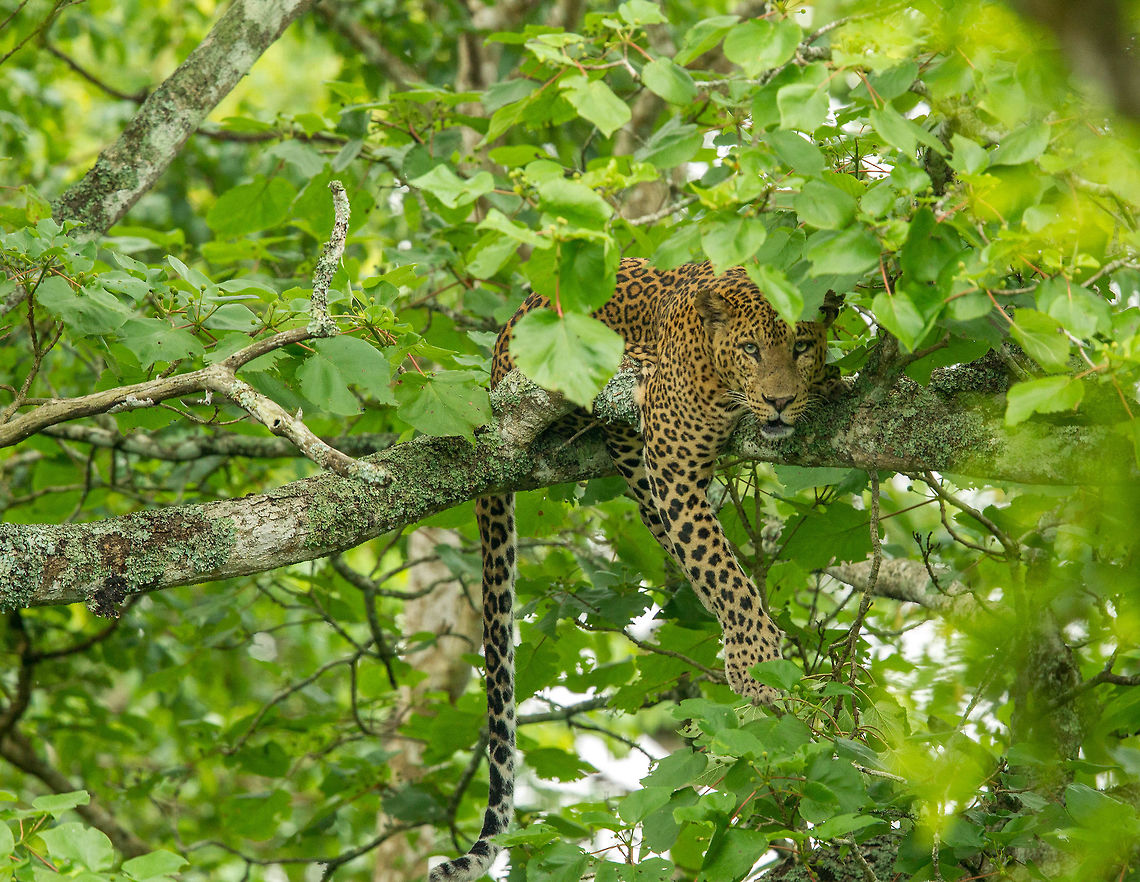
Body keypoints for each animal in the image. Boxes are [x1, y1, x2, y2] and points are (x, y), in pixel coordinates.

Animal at [429, 256, 840, 882]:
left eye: (801, 345)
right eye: (750, 349)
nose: (778, 401)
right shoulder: (674, 468)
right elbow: (721, 570)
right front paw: (756, 661)